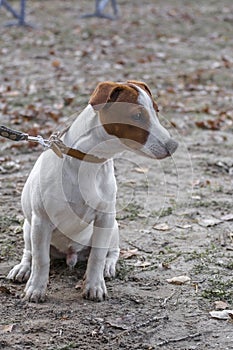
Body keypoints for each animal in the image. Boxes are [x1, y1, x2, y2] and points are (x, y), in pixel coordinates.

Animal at [7, 80, 178, 302]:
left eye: (156, 111)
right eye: (137, 116)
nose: (173, 146)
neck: (89, 161)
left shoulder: (104, 218)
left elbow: (97, 256)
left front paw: (94, 285)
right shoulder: (41, 221)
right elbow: (41, 259)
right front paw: (36, 288)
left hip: (113, 227)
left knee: (111, 251)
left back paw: (108, 266)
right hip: (29, 227)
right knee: (30, 252)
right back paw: (23, 268)